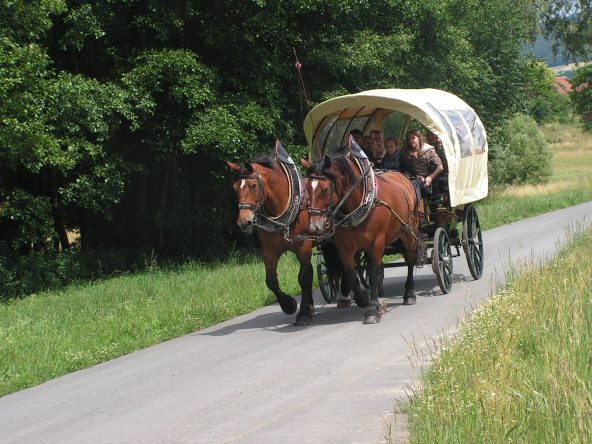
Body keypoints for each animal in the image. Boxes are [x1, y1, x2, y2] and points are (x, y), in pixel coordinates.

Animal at [227, 144, 320, 324]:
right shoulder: (269, 251)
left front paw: (303, 313)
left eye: (253, 186)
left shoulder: (303, 247)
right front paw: (289, 304)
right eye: (234, 188)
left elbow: (303, 278)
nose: (244, 222)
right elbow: (271, 281)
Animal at [300, 151, 420, 324]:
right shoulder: (344, 248)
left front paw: (372, 310)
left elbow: (374, 274)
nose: (313, 226)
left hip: (408, 233)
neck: (359, 204)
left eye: (325, 189)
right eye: (308, 188)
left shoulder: (377, 243)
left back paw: (409, 294)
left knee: (409, 260)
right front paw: (363, 298)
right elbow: (351, 275)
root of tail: (403, 177)